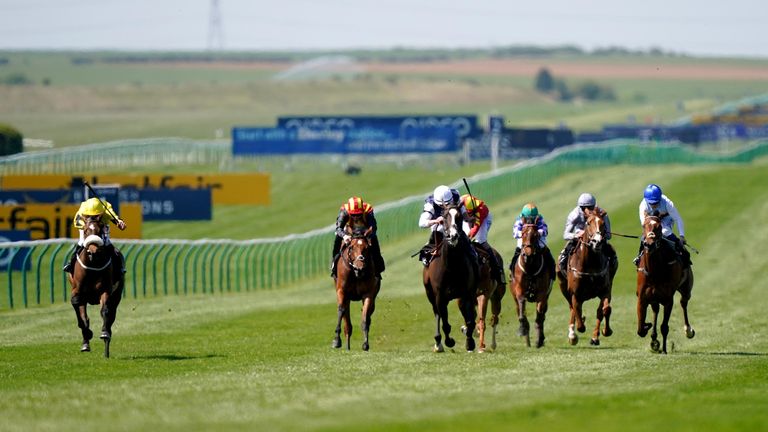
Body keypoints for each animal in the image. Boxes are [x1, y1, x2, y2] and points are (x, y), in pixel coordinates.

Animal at [67, 216, 124, 358]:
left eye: (100, 230)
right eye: (86, 230)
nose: (93, 251)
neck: (93, 265)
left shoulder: (106, 290)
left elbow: (105, 311)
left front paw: (104, 333)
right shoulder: (77, 291)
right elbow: (82, 317)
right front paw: (87, 336)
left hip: (117, 295)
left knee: (111, 317)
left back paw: (106, 346)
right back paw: (86, 343)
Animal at [424, 205, 476, 352]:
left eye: (459, 217)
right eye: (445, 216)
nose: (453, 236)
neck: (452, 266)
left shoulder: (467, 294)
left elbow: (470, 320)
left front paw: (470, 343)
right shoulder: (440, 296)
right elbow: (445, 324)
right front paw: (449, 341)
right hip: (431, 294)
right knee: (437, 314)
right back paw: (438, 343)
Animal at [510, 219, 552, 348]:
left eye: (535, 235)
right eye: (523, 234)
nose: (528, 253)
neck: (530, 268)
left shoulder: (542, 294)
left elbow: (539, 317)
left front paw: (539, 340)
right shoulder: (519, 291)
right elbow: (522, 313)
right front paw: (523, 329)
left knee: (542, 316)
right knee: (519, 310)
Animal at [556, 208, 616, 346]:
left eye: (603, 224)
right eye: (588, 223)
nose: (597, 241)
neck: (590, 263)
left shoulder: (605, 290)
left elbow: (605, 310)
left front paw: (604, 332)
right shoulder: (575, 293)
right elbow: (577, 312)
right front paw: (576, 332)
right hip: (563, 287)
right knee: (572, 307)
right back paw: (572, 334)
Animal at [636, 213, 696, 354]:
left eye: (659, 226)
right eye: (644, 225)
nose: (649, 244)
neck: (654, 272)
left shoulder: (668, 299)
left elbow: (664, 326)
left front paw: (663, 349)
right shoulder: (642, 298)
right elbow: (640, 329)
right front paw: (650, 332)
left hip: (686, 289)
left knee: (683, 303)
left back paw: (688, 330)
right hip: (654, 298)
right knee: (656, 310)